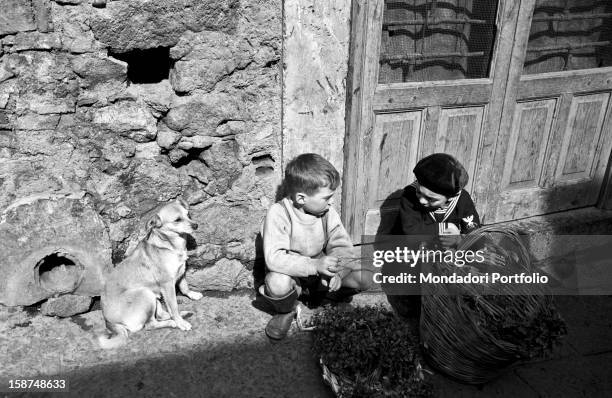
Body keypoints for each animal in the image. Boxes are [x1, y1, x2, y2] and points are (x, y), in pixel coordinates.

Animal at [97, 199, 203, 348]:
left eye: (188, 215)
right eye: (177, 220)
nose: (196, 225)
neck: (170, 245)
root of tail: (108, 321)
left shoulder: (180, 271)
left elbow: (184, 286)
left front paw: (192, 295)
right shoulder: (167, 284)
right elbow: (174, 305)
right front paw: (180, 323)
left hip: (153, 297)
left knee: (160, 315)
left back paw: (181, 315)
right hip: (145, 294)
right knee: (150, 324)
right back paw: (174, 322)